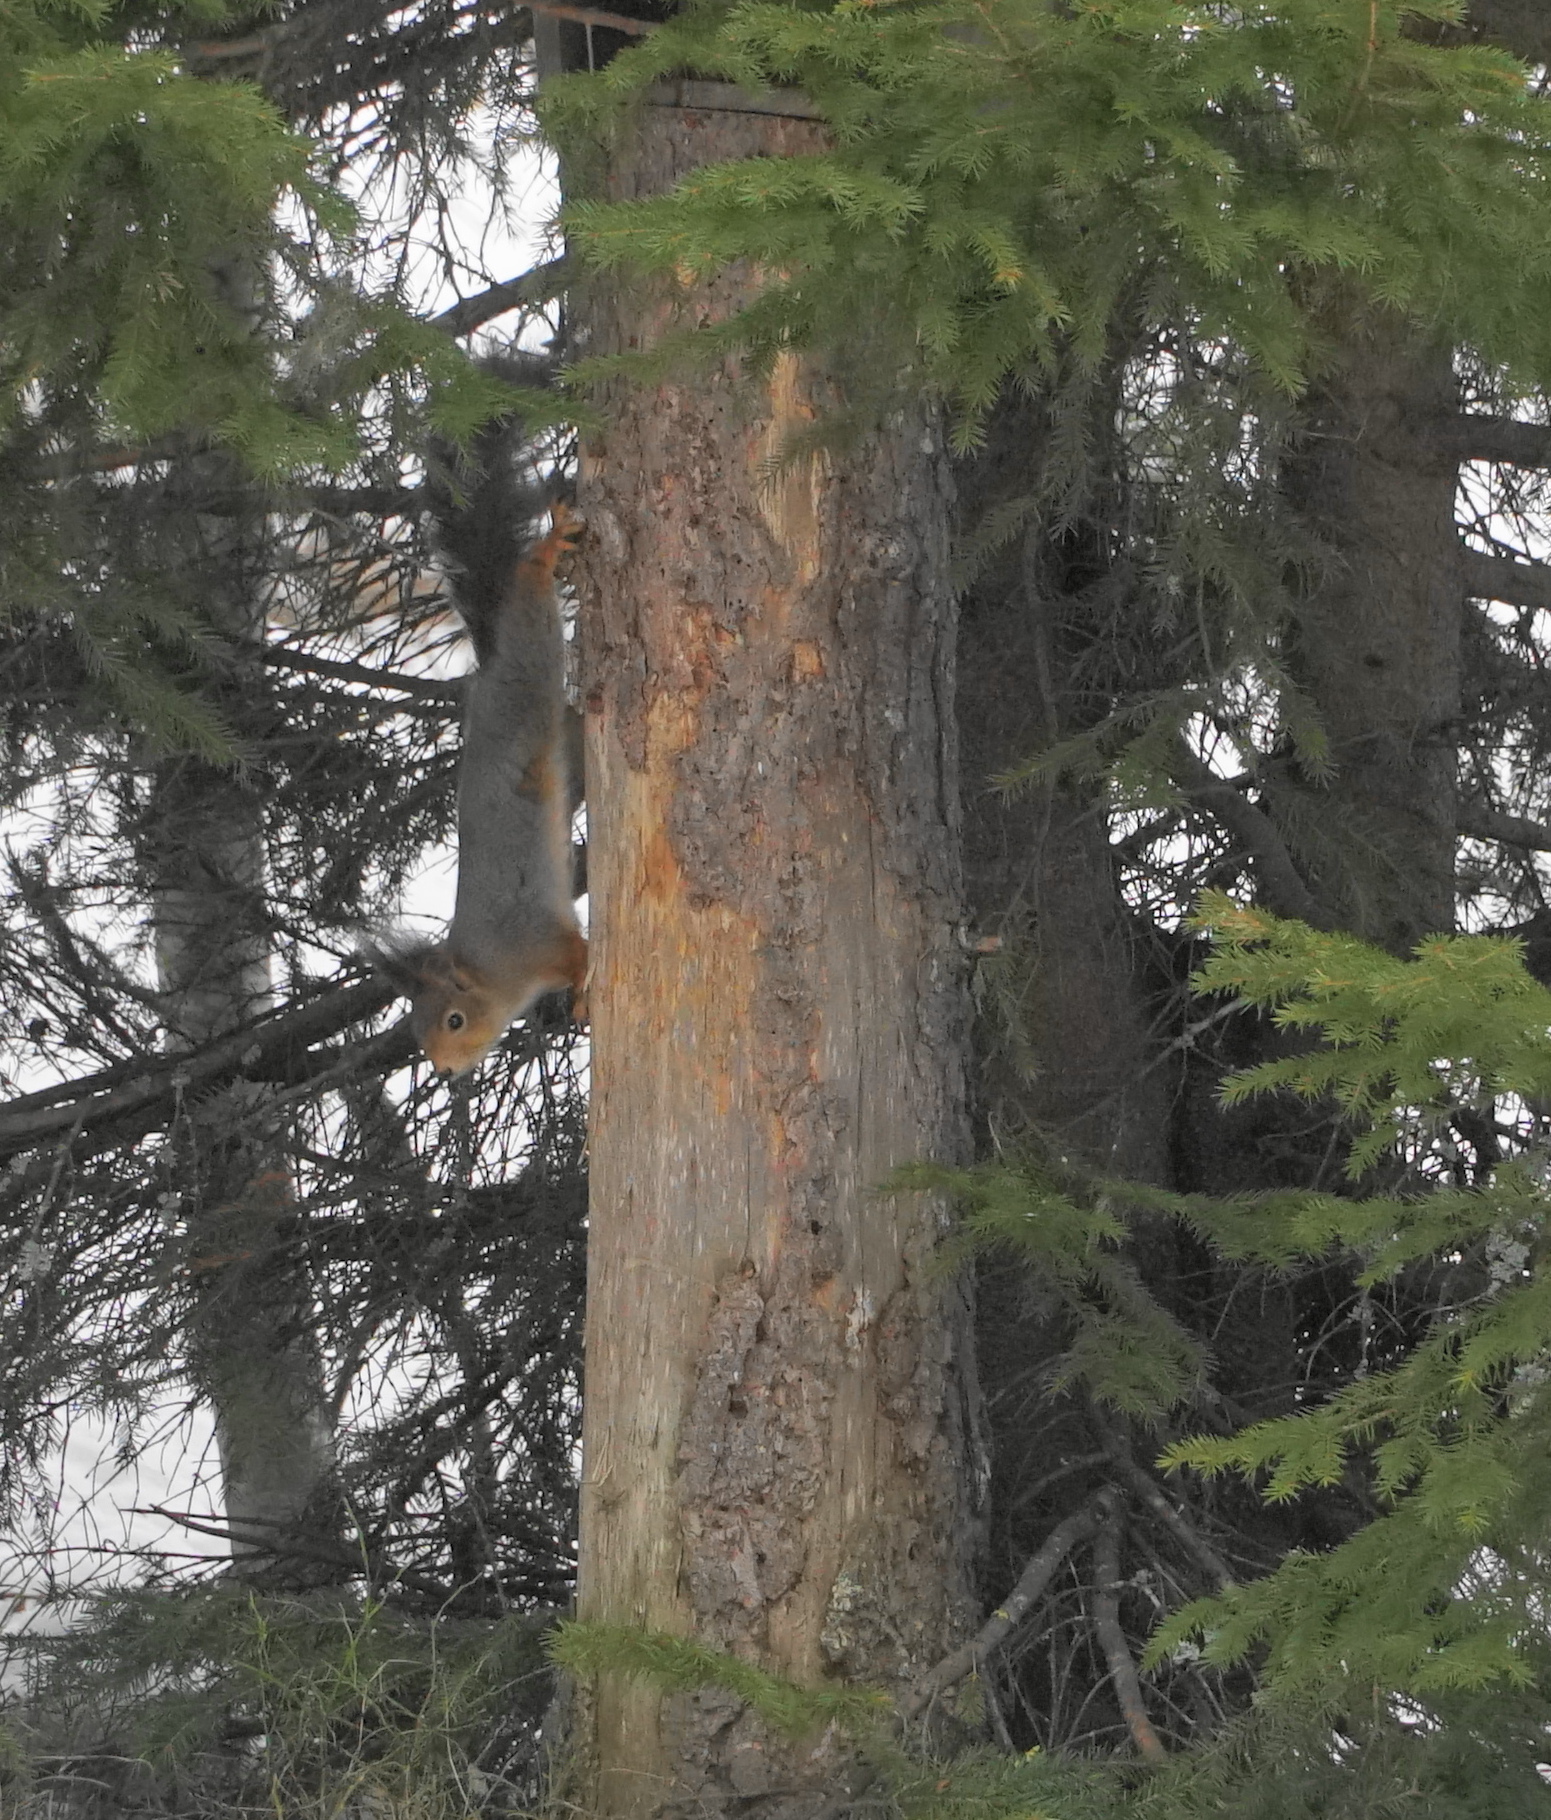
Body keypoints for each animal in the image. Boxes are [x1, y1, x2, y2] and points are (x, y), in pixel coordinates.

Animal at [379, 485, 588, 1077]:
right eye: (416, 1031)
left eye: (455, 1020)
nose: (446, 1072)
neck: (495, 972)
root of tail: (487, 672)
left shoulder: (541, 942)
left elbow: (580, 956)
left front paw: (582, 997)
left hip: (530, 665)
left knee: (530, 597)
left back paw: (546, 550)